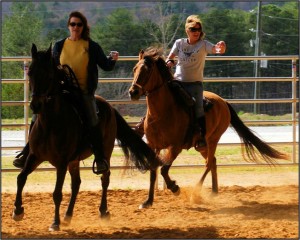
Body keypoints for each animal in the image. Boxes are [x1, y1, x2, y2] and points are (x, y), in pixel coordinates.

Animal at [12, 44, 162, 232]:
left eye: (49, 75)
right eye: (30, 72)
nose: (35, 105)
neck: (51, 122)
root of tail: (109, 107)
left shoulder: (61, 162)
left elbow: (57, 193)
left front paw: (55, 223)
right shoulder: (35, 156)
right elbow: (21, 178)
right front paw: (17, 211)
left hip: (105, 152)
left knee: (105, 178)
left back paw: (103, 212)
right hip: (74, 160)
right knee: (76, 184)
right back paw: (68, 215)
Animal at [128, 47, 288, 208]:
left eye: (147, 70)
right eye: (134, 69)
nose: (133, 92)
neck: (162, 112)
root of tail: (223, 102)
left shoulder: (175, 146)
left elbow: (164, 169)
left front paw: (175, 188)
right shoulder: (153, 145)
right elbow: (153, 171)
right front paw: (148, 201)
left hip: (213, 140)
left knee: (209, 163)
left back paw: (195, 193)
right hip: (202, 146)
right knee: (213, 162)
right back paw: (214, 191)